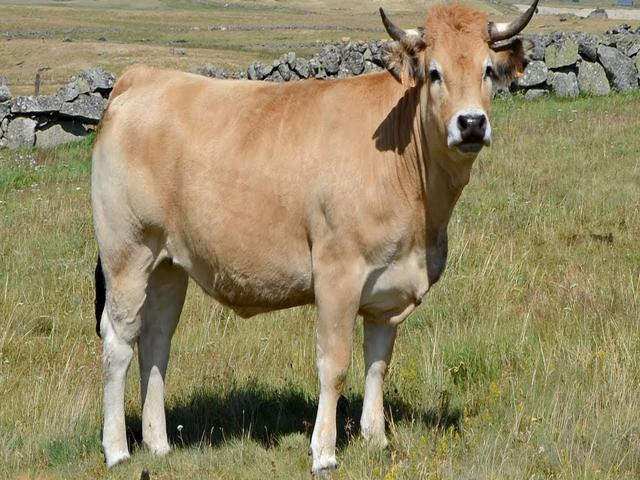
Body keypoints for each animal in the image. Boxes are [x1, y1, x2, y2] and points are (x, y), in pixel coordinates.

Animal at [92, 0, 538, 473]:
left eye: (487, 69)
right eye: (434, 72)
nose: (471, 123)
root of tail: (144, 76)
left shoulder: (388, 288)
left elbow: (378, 362)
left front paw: (375, 438)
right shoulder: (337, 275)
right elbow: (335, 364)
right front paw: (324, 452)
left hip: (167, 264)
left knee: (156, 339)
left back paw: (159, 444)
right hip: (126, 252)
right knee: (119, 342)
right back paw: (117, 449)